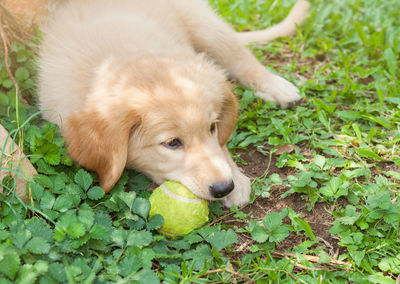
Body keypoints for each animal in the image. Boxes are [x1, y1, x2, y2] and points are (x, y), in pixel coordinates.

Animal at [38, 0, 310, 206]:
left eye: (212, 128)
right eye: (172, 143)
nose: (225, 187)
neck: (120, 56)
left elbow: (220, 145)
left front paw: (238, 178)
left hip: (203, 23)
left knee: (240, 58)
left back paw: (277, 86)